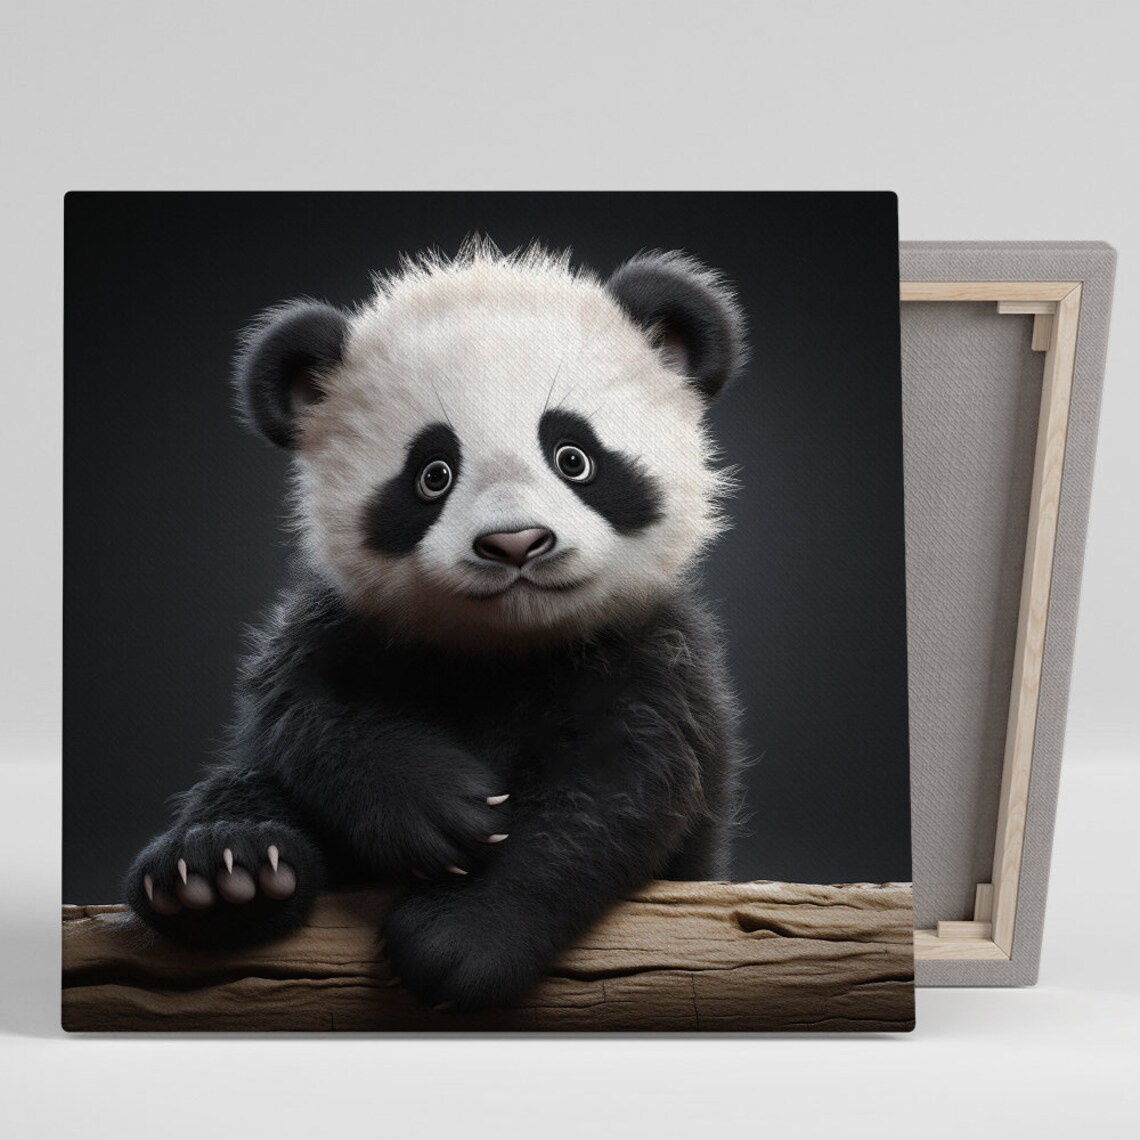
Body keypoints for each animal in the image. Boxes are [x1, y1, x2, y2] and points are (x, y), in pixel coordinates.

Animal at [125, 239, 749, 1011]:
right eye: (433, 474)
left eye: (574, 457)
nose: (515, 544)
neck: (506, 646)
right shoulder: (336, 630)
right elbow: (309, 720)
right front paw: (440, 809)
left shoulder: (652, 655)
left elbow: (612, 794)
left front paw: (459, 940)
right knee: (242, 785)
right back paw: (218, 875)